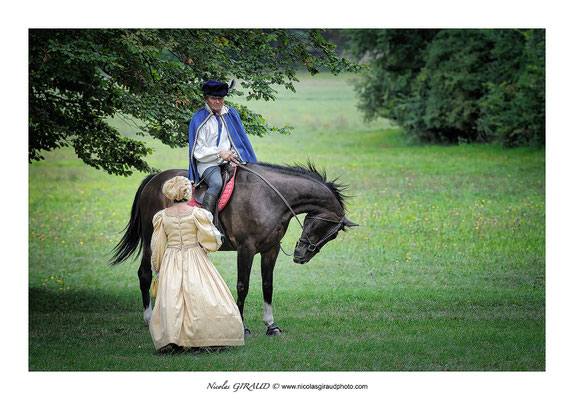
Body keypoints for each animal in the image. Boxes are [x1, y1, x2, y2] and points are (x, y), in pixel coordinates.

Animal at [110, 162, 358, 334]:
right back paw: (149, 319)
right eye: (332, 232)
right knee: (144, 274)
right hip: (152, 240)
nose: (301, 255)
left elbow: (268, 285)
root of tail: (154, 179)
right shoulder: (246, 249)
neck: (270, 198)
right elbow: (242, 286)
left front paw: (271, 325)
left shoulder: (271, 249)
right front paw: (243, 327)